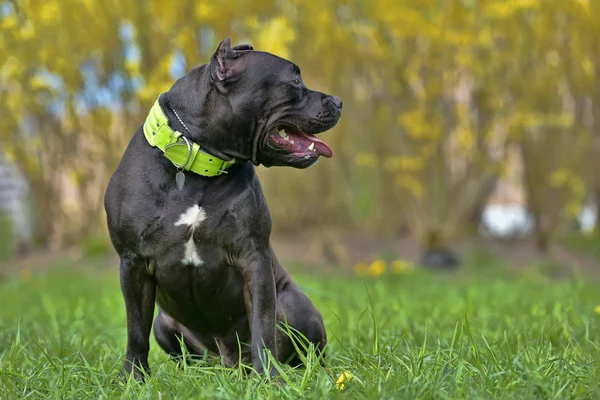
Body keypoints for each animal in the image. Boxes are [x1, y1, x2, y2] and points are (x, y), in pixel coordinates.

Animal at [103, 37, 342, 378]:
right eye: (294, 81)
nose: (338, 101)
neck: (197, 165)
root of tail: (229, 361)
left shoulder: (254, 257)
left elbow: (262, 326)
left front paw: (270, 379)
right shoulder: (132, 263)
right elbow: (136, 329)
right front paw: (133, 378)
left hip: (295, 305)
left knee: (306, 349)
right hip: (165, 323)